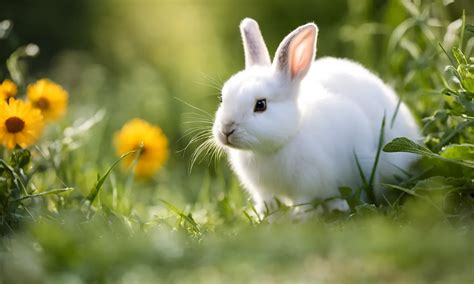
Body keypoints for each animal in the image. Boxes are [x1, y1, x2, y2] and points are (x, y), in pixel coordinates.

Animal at [212, 18, 418, 213]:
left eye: (260, 105)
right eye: (222, 98)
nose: (226, 129)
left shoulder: (307, 185)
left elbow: (305, 204)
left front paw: (301, 219)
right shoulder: (264, 192)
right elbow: (269, 207)